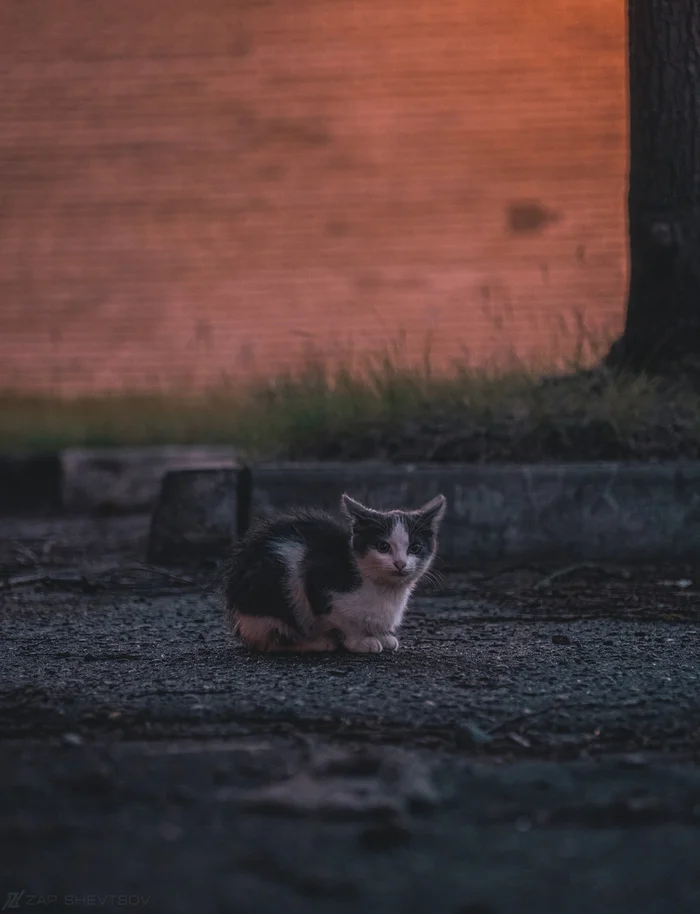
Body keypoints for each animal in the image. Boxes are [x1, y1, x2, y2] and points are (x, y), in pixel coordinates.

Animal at [227, 496, 446, 652]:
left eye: (415, 547)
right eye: (383, 547)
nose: (400, 563)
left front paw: (382, 636)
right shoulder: (316, 578)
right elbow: (343, 619)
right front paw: (360, 641)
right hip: (272, 596)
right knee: (273, 641)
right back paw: (318, 643)